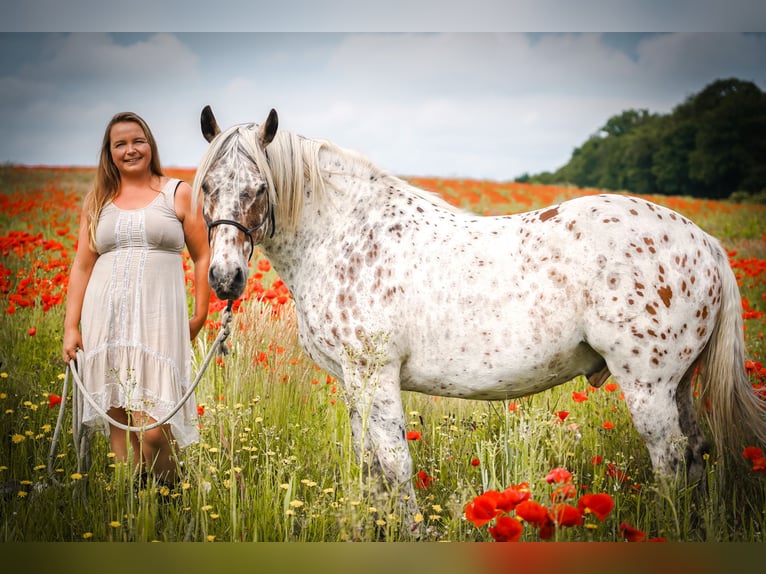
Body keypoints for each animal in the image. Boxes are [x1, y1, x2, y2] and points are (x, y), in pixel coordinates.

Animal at [194, 106, 766, 528]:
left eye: (259, 188)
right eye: (206, 187)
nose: (225, 279)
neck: (346, 235)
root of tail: (706, 243)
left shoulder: (376, 375)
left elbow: (395, 463)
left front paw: (410, 531)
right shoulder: (354, 382)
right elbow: (368, 465)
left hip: (648, 385)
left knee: (669, 459)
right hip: (679, 384)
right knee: (694, 452)